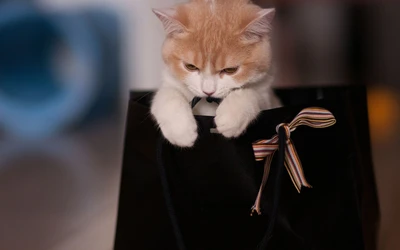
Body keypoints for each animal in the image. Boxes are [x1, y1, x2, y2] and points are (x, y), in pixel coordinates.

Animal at [151, 0, 282, 147]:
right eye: (190, 67)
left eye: (230, 70)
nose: (208, 91)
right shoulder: (170, 82)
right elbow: (167, 95)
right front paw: (180, 129)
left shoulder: (267, 97)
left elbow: (253, 94)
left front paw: (232, 115)